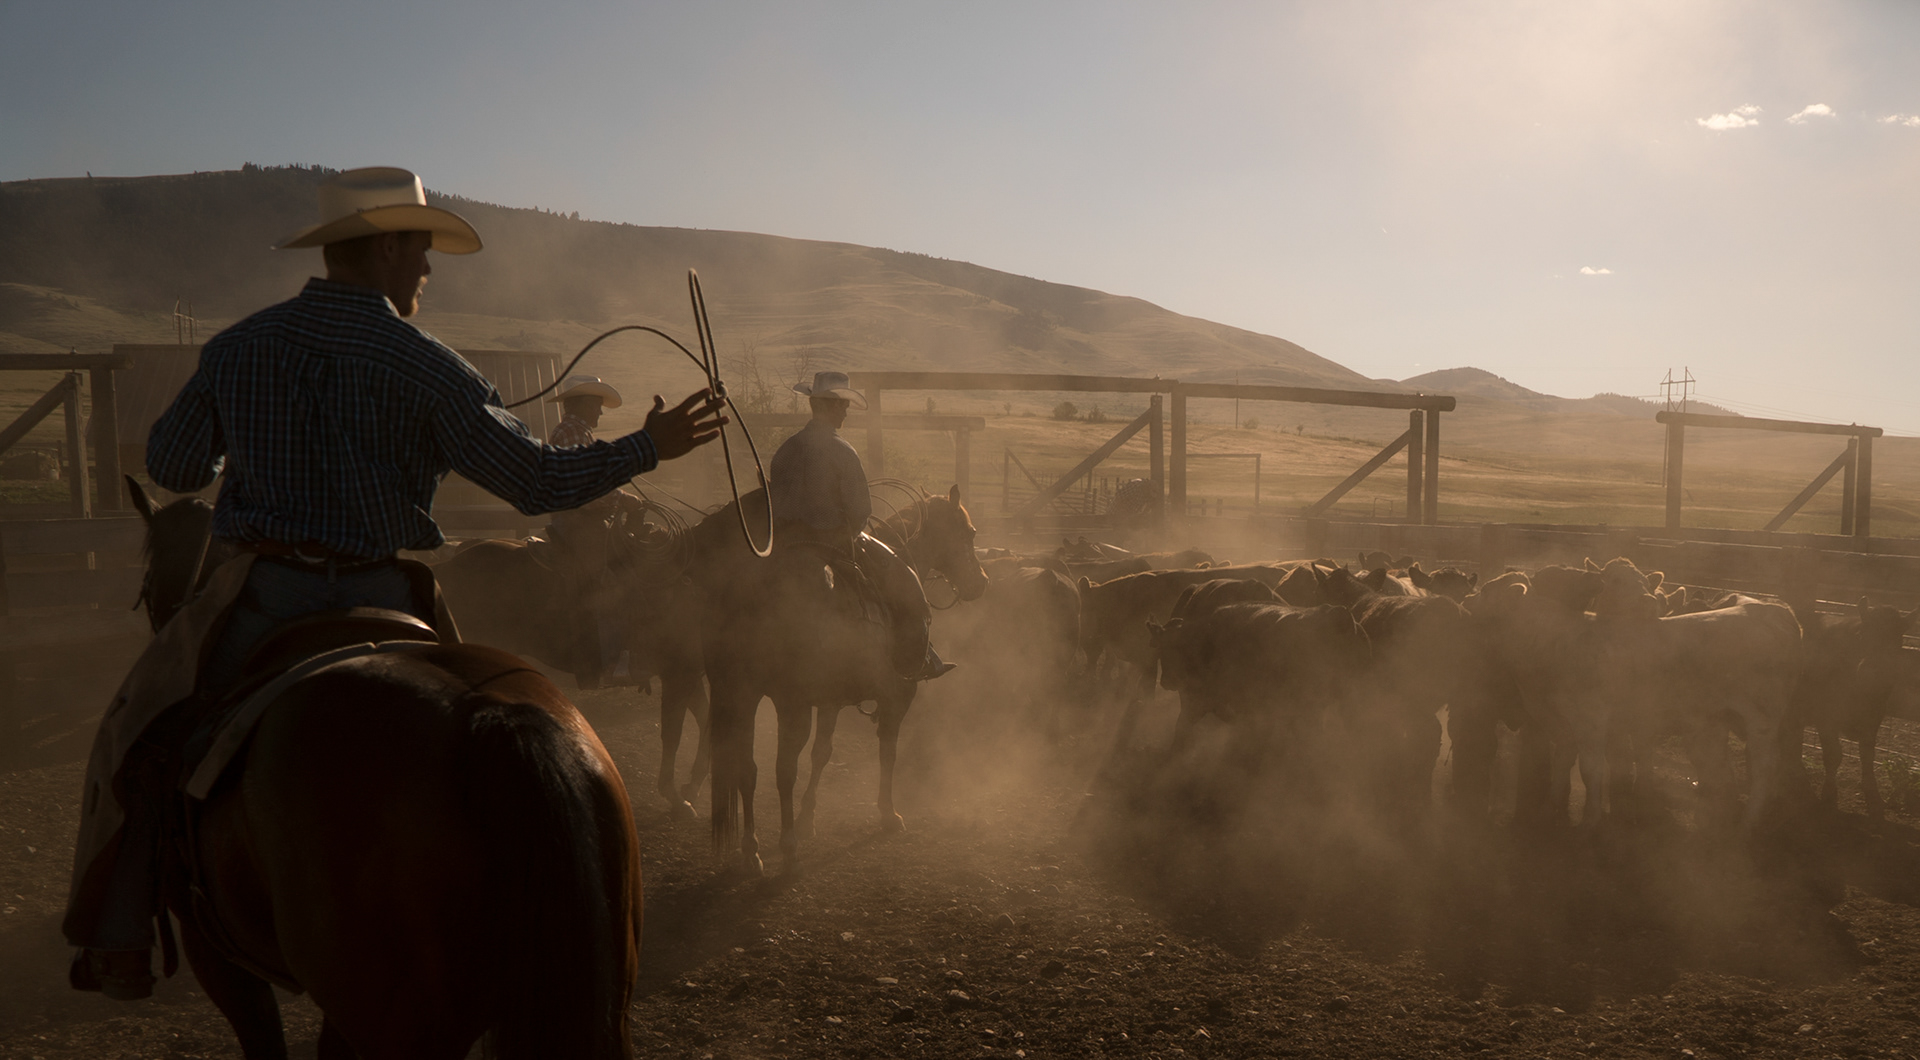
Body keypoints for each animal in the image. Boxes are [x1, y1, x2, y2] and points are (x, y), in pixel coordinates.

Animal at [434, 504, 712, 817]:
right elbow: (673, 733)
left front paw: (692, 785)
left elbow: (706, 721)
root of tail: (448, 565)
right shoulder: (678, 673)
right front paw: (676, 796)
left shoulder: (690, 672)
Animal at [691, 485, 987, 876]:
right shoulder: (897, 696)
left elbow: (822, 753)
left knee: (747, 768)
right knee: (783, 769)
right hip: (789, 703)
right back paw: (787, 847)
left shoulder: (829, 701)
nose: (981, 582)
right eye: (969, 533)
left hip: (741, 694)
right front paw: (888, 813)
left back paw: (751, 850)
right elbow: (888, 751)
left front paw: (808, 818)